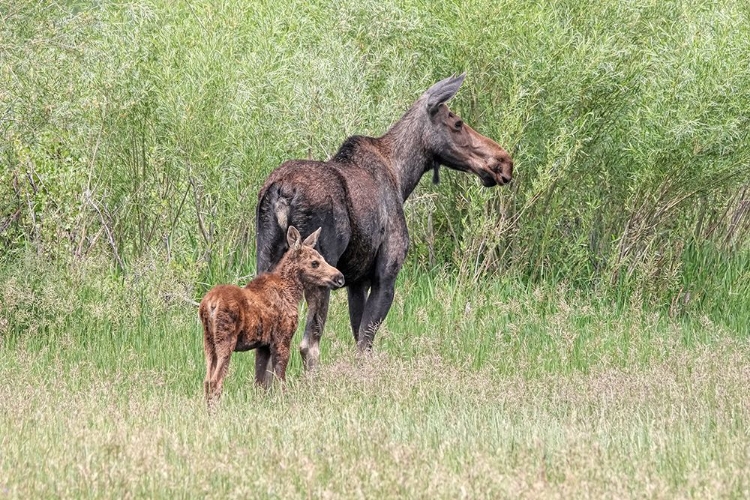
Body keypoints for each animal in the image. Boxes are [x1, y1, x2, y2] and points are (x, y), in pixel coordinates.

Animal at [198, 227, 342, 406]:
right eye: (315, 263)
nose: (339, 278)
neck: (293, 293)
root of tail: (210, 304)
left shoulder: (263, 345)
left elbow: (260, 382)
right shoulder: (282, 338)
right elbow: (280, 378)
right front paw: (284, 400)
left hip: (208, 342)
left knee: (206, 380)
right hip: (225, 340)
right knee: (216, 381)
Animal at [258, 74, 512, 372]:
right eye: (457, 122)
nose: (504, 161)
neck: (403, 176)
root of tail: (282, 193)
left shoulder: (355, 281)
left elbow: (358, 333)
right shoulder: (385, 276)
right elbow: (364, 344)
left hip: (266, 259)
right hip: (318, 269)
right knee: (309, 345)